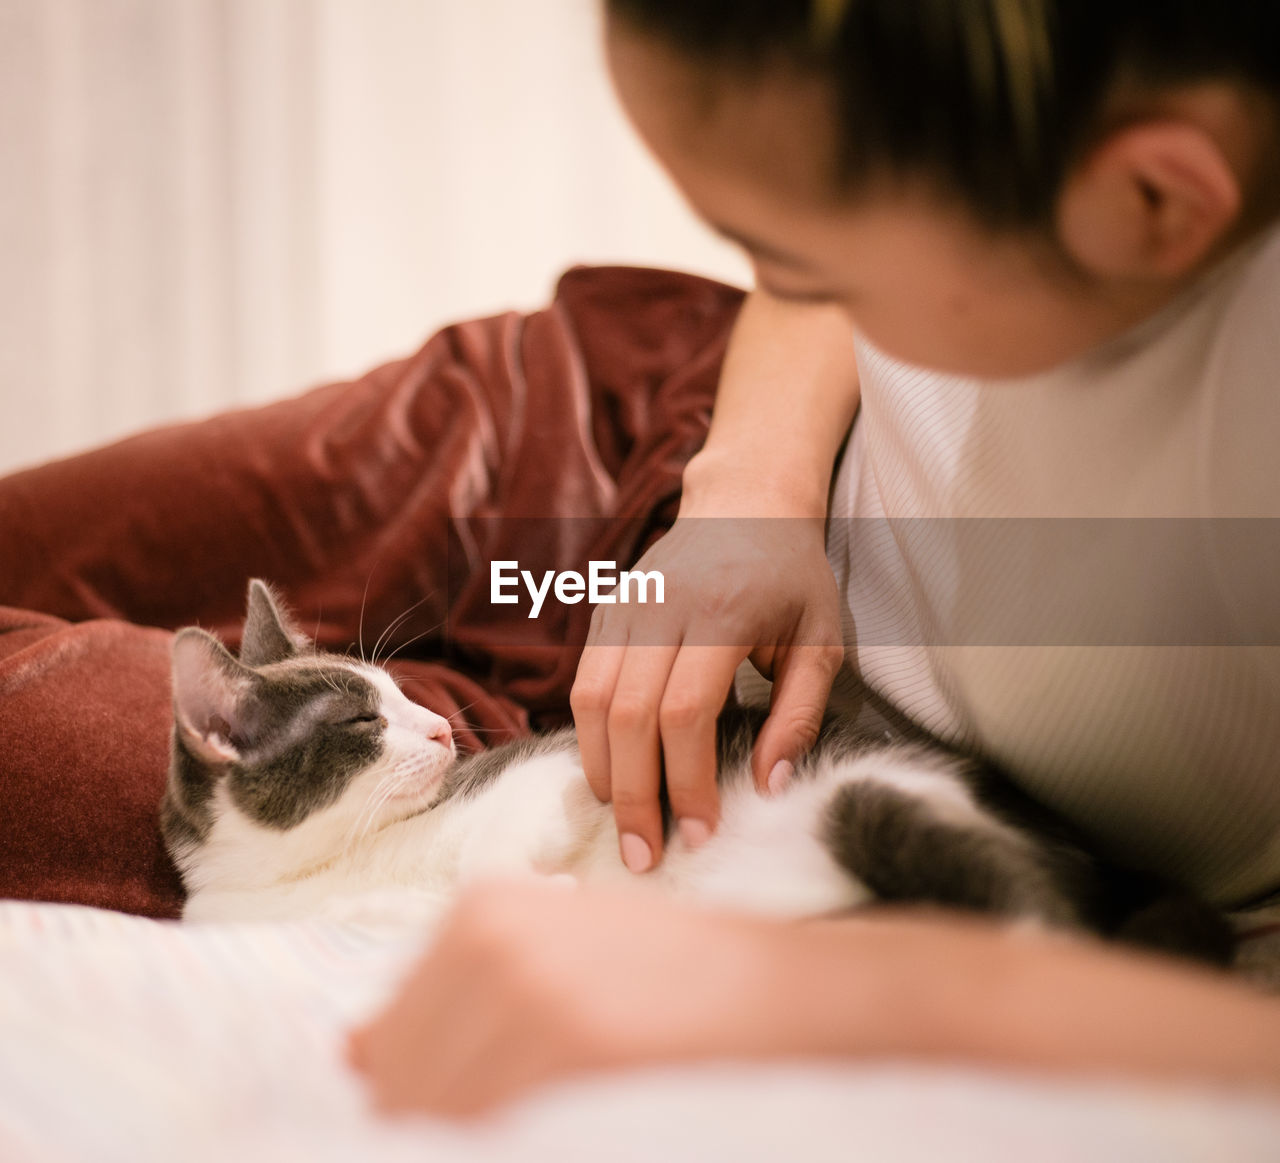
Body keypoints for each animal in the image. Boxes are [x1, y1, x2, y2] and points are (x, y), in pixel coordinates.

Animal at [160, 578, 1228, 962]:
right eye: (359, 717)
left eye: (404, 690)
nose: (442, 727)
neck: (335, 865)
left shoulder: (558, 760)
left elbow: (545, 794)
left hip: (878, 795)